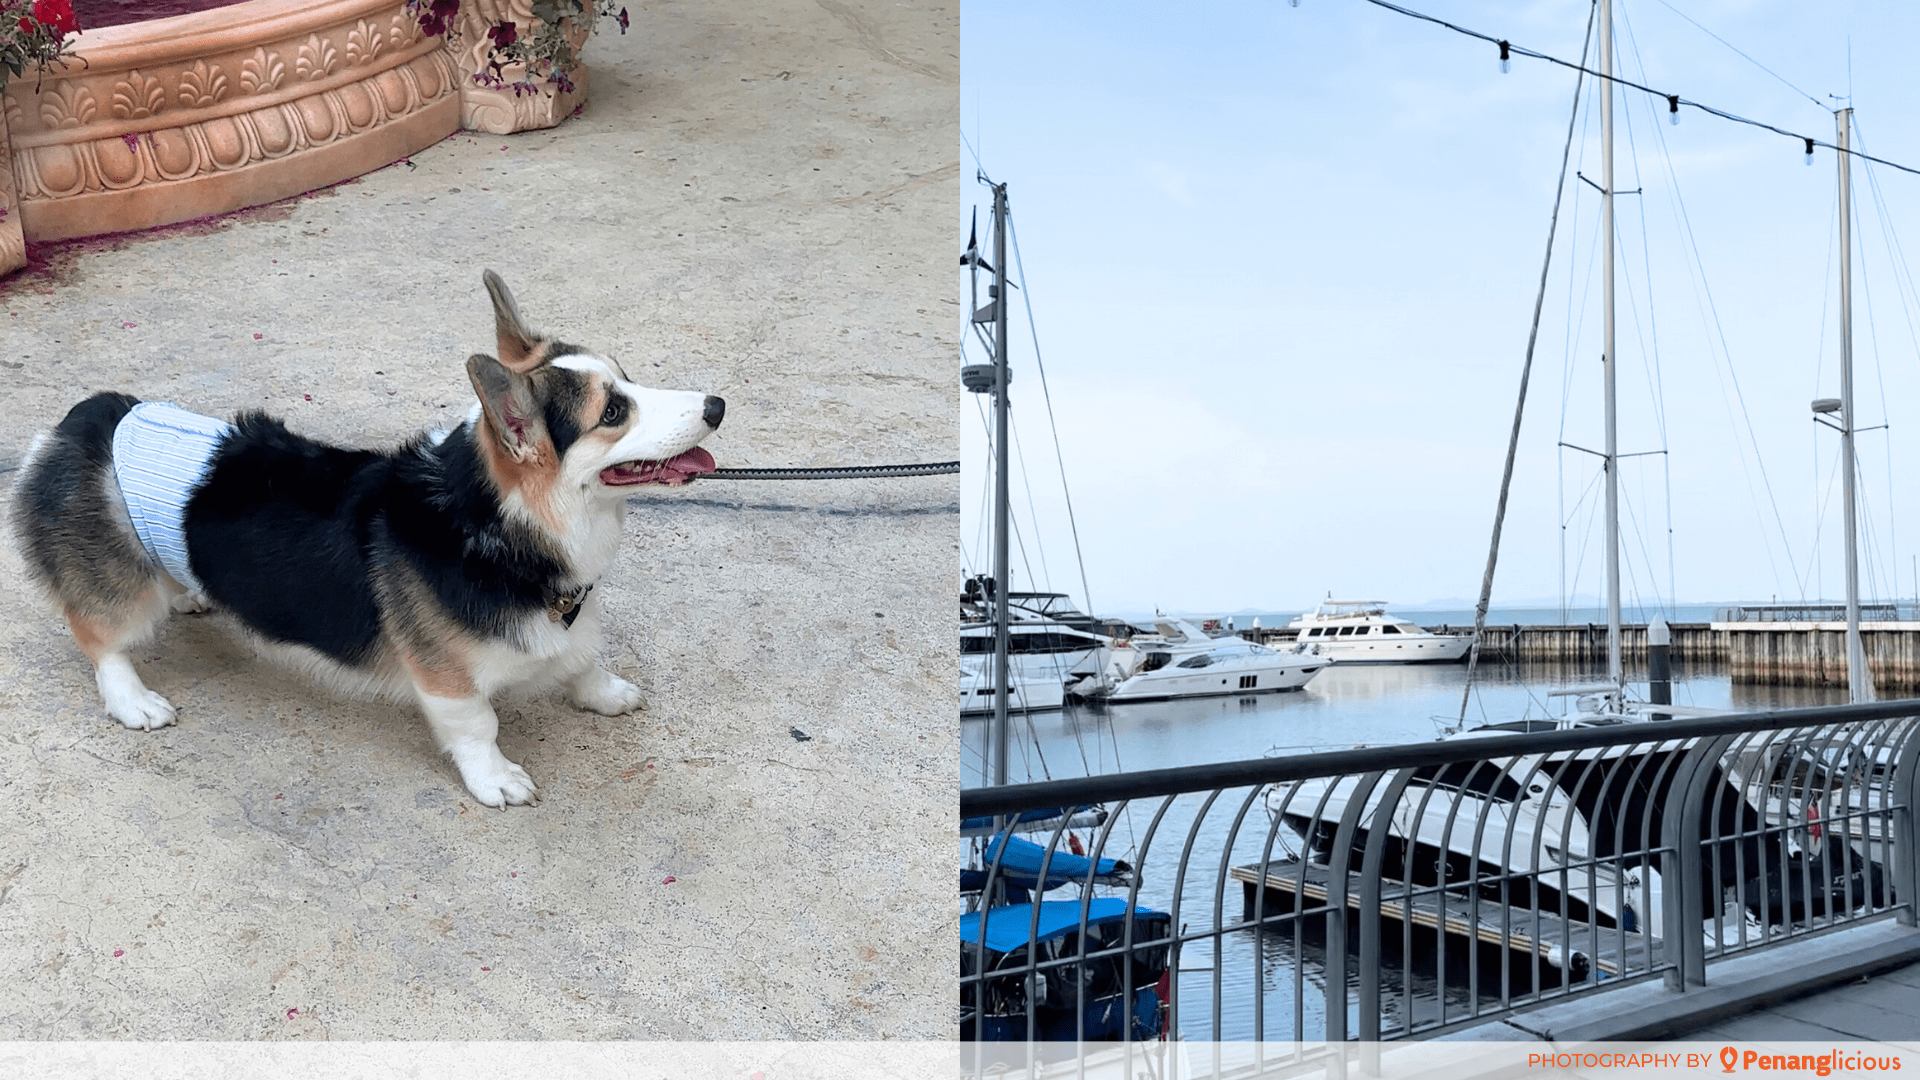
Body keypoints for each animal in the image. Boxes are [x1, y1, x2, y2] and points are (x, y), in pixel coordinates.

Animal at [13, 272, 725, 803]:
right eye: (613, 412)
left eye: (627, 377)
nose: (717, 405)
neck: (494, 521)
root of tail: (87, 416)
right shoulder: (445, 678)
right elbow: (478, 725)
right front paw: (496, 778)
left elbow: (580, 660)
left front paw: (605, 694)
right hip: (120, 589)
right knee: (101, 637)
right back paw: (133, 699)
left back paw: (191, 592)